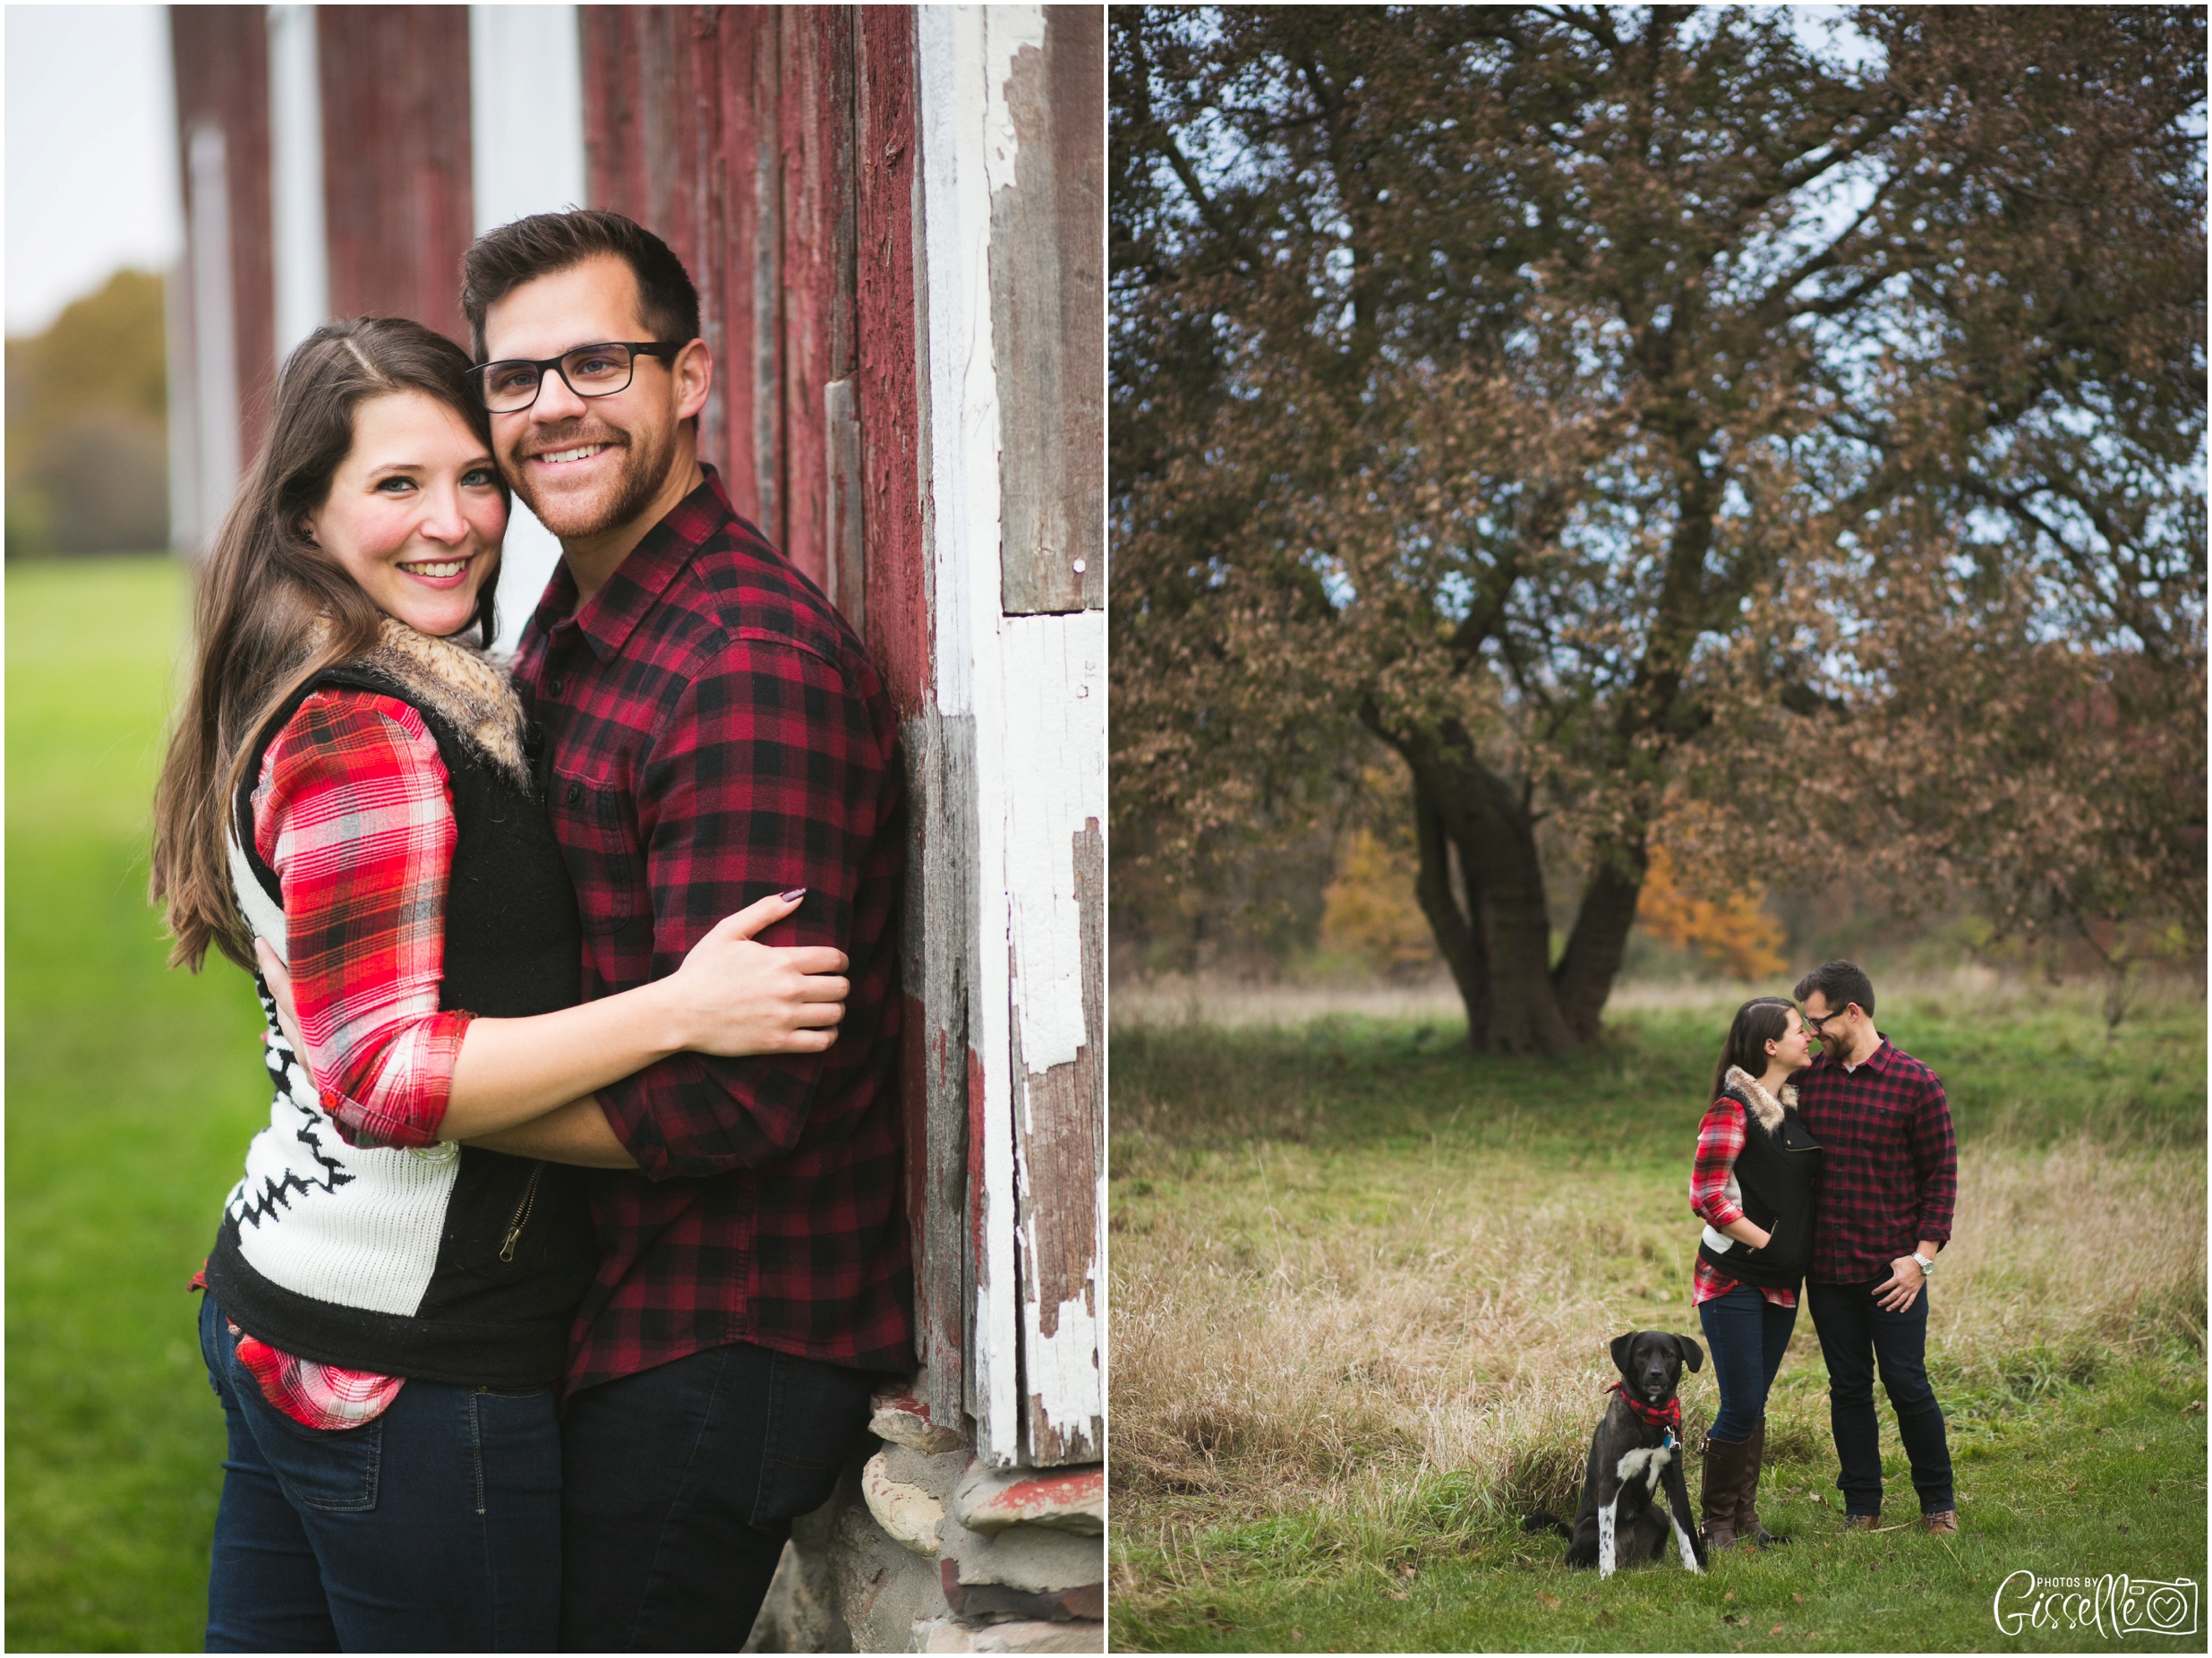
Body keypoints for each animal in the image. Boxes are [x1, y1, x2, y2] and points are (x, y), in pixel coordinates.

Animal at [1539, 1328, 1707, 1576]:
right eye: (1642, 1354)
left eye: (1669, 1355)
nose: (1655, 1374)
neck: (1650, 1417)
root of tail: (1630, 1556)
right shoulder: (1611, 1482)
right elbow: (1607, 1537)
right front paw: (1607, 1573)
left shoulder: (1674, 1481)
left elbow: (1685, 1532)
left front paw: (1693, 1568)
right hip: (1589, 1526)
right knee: (1581, 1553)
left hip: (1658, 1515)